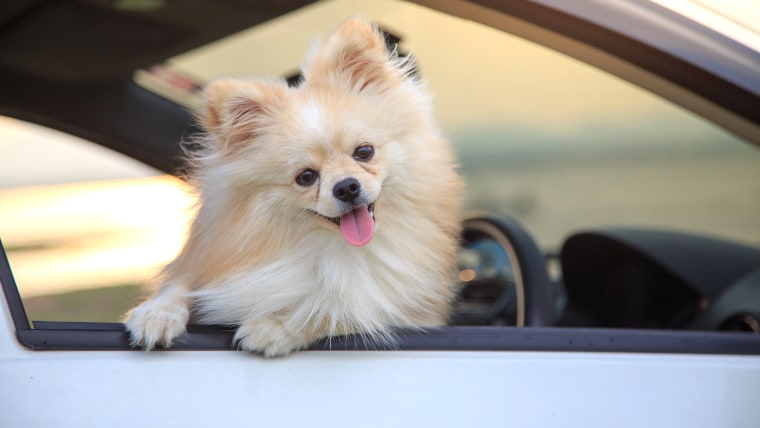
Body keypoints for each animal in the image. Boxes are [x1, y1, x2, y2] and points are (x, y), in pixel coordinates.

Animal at [124, 18, 464, 356]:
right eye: (306, 177)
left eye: (364, 152)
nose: (346, 187)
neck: (332, 249)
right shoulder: (205, 262)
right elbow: (177, 286)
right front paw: (155, 314)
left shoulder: (409, 309)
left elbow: (337, 309)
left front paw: (273, 327)